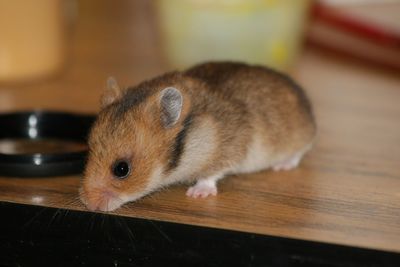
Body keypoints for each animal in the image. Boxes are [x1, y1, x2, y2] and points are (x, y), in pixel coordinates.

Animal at [80, 61, 316, 213]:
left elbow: (210, 173)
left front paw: (196, 194)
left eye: (122, 169)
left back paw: (282, 166)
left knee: (299, 153)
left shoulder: (229, 151)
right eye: (88, 152)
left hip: (299, 139)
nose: (89, 206)